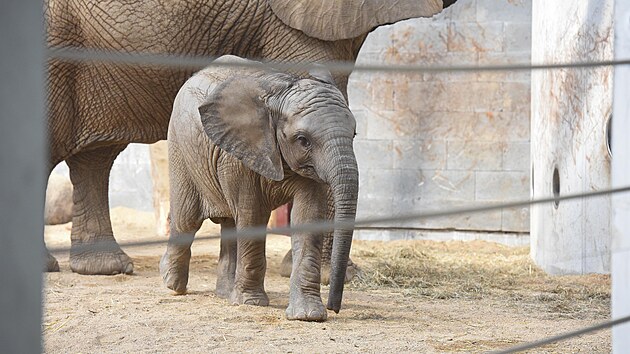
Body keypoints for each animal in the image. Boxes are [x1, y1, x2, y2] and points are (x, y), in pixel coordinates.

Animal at [162, 54, 360, 320]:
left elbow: (308, 217)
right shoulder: (238, 154)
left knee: (228, 223)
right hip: (180, 149)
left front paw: (308, 315)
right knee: (187, 220)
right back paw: (173, 286)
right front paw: (251, 303)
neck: (280, 95)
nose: (334, 307)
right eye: (303, 140)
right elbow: (252, 214)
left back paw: (225, 294)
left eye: (354, 134)